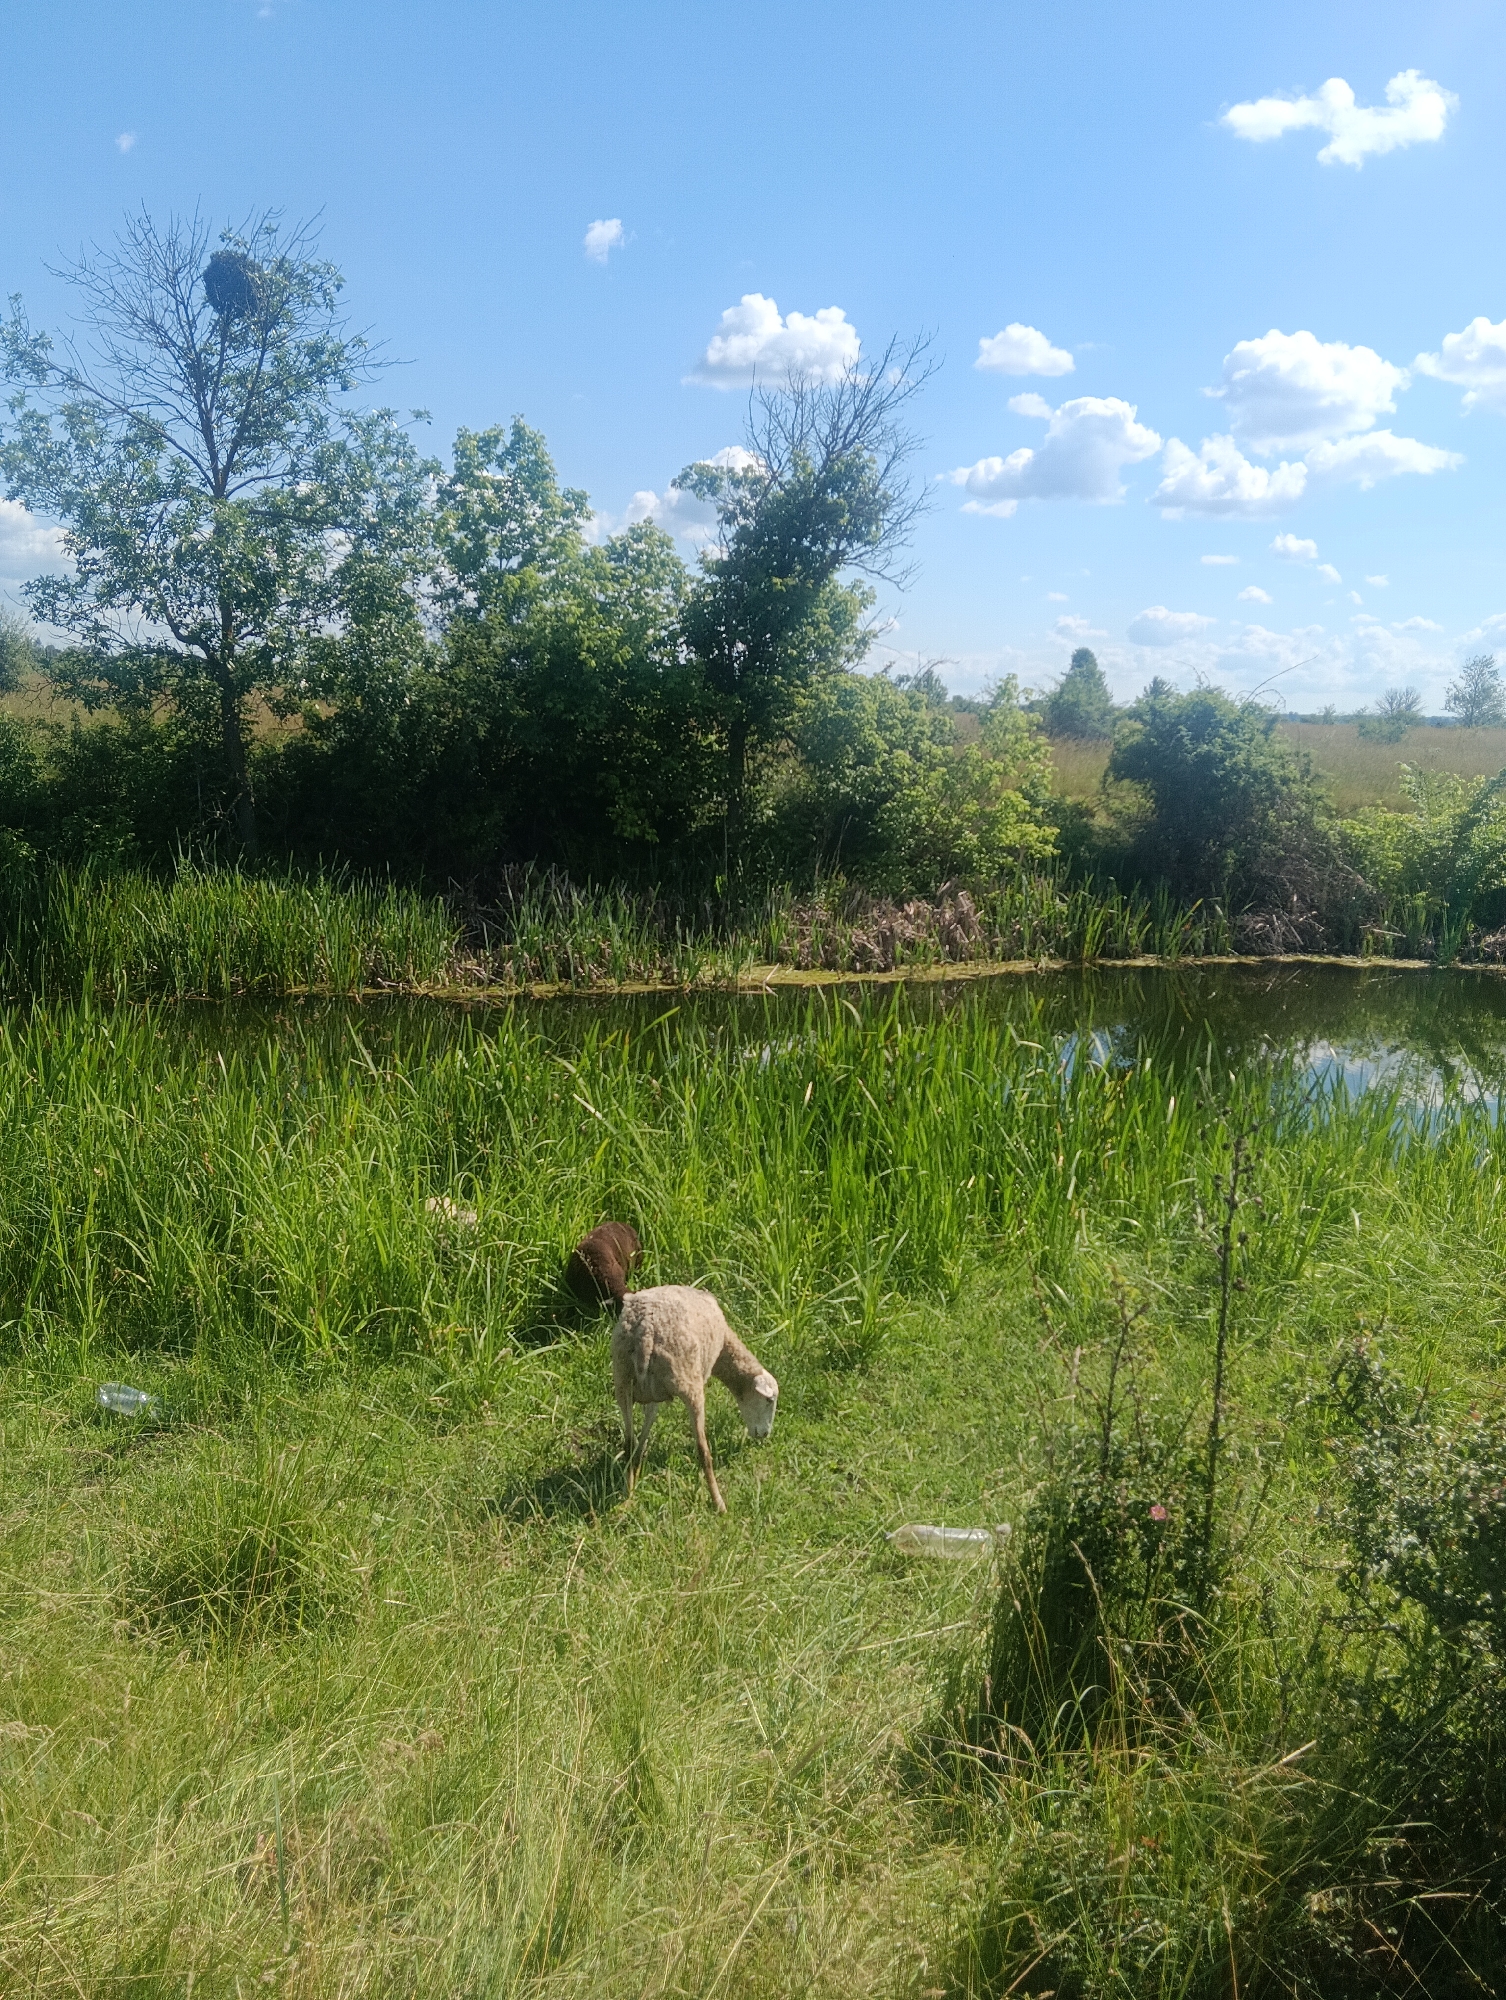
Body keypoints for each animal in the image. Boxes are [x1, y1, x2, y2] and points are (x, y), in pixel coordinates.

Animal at [612, 1285, 778, 1513]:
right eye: (770, 1400)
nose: (765, 1434)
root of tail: (645, 1335)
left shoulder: (655, 1394)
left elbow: (649, 1420)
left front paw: (637, 1469)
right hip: (690, 1384)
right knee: (703, 1450)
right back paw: (718, 1503)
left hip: (622, 1381)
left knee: (628, 1442)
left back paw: (627, 1494)